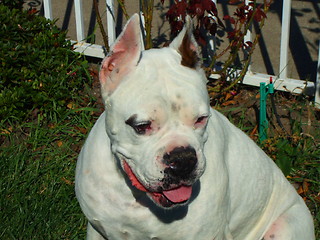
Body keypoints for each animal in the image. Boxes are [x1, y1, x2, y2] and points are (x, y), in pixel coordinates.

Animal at [75, 13, 316, 240]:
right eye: (141, 126)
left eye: (201, 119)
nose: (183, 159)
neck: (136, 197)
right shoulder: (96, 230)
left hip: (285, 227)